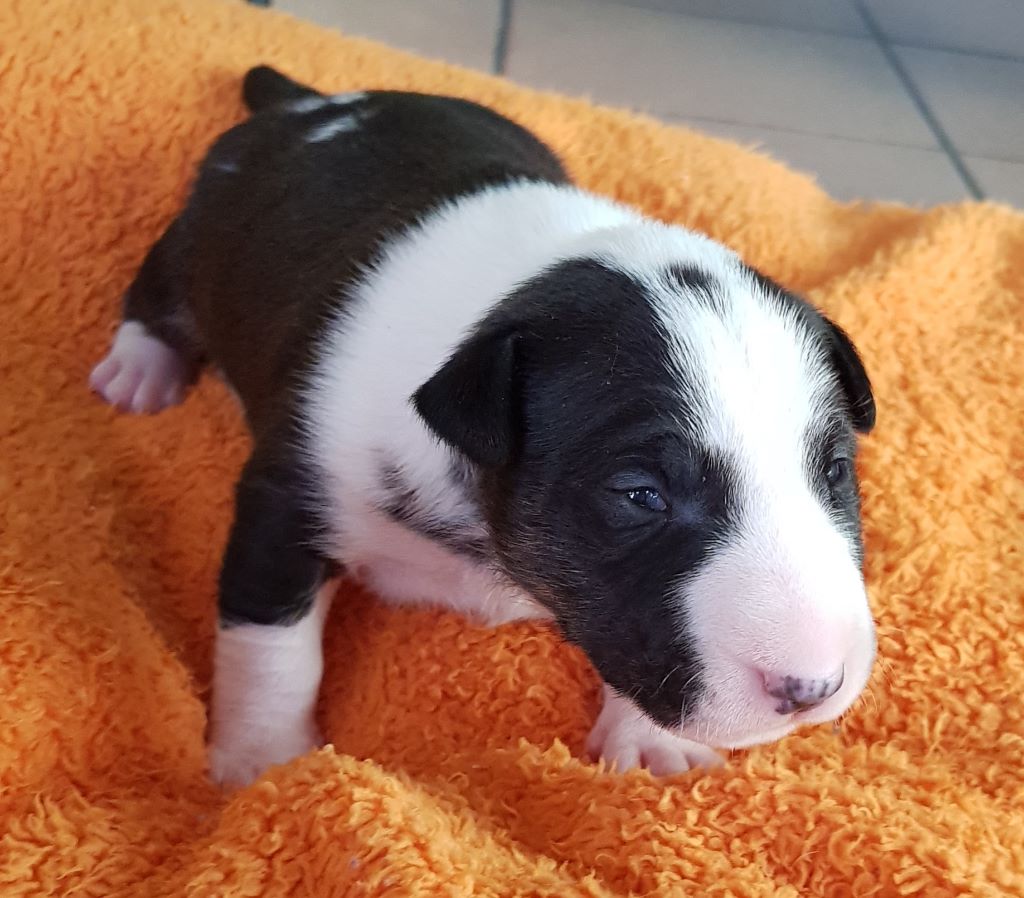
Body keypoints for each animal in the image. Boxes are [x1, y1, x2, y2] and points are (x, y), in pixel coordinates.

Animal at [91, 66, 877, 787]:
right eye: (639, 495)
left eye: (835, 470)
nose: (812, 690)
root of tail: (314, 102)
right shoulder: (286, 497)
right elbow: (271, 643)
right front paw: (262, 764)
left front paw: (653, 741)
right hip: (197, 234)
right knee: (158, 289)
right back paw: (141, 367)